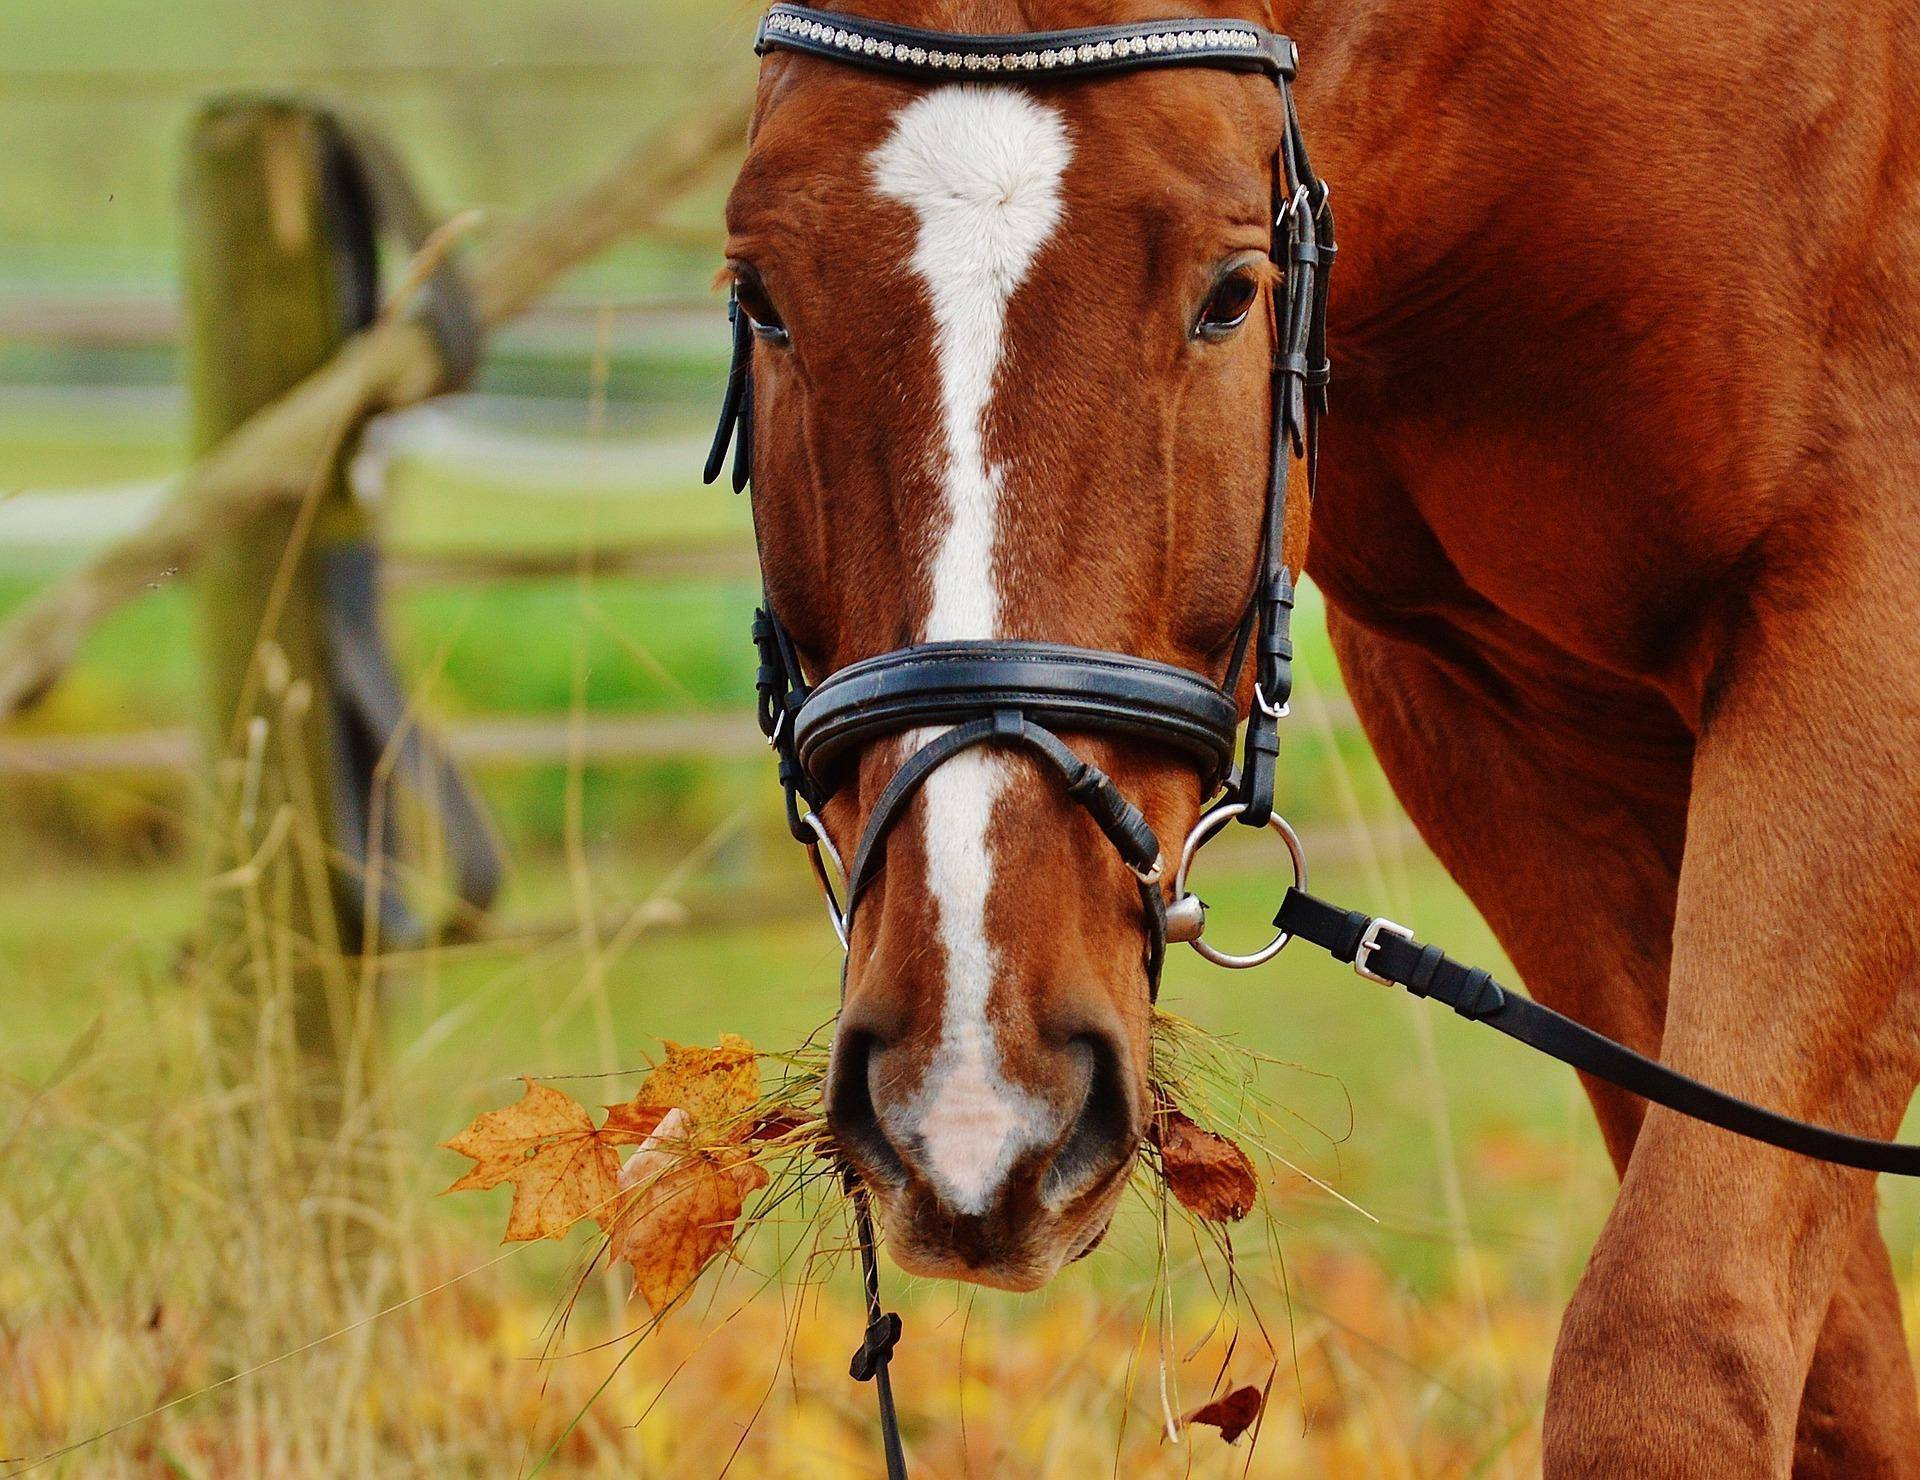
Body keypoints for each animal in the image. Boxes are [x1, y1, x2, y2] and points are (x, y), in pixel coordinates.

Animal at [721, 2, 1920, 1466]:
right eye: (762, 295)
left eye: (1233, 293)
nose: (972, 1106)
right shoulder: (1495, 720)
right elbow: (1837, 1370)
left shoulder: (1865, 626)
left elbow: (1677, 1338)